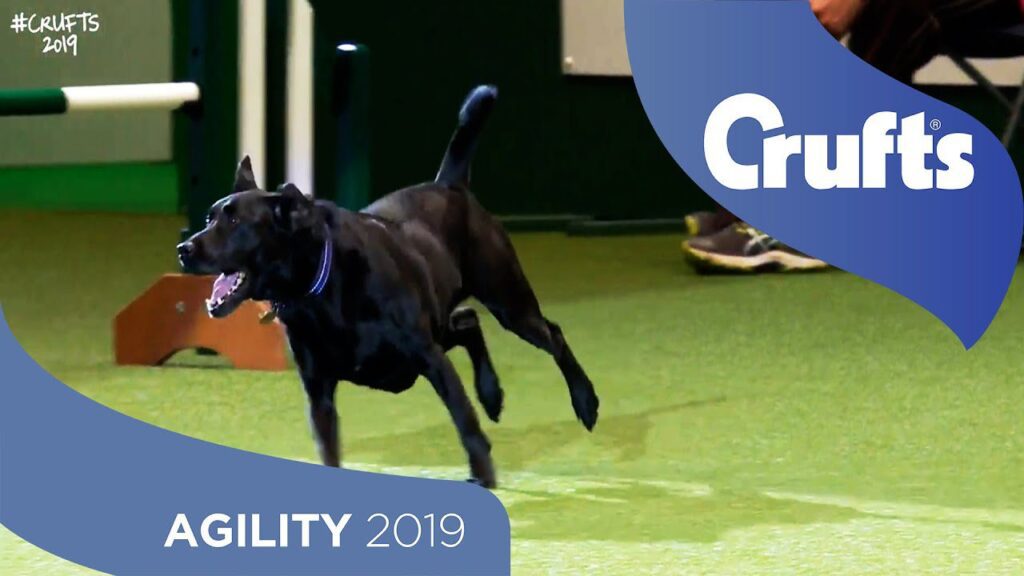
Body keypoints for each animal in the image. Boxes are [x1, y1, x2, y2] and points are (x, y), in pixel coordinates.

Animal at [173, 85, 598, 483]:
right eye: (209, 217)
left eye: (234, 222)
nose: (183, 248)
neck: (321, 291)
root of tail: (450, 185)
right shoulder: (319, 390)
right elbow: (329, 450)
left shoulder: (429, 357)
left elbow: (465, 422)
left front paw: (484, 474)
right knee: (468, 321)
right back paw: (492, 394)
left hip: (507, 301)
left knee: (552, 334)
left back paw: (585, 402)